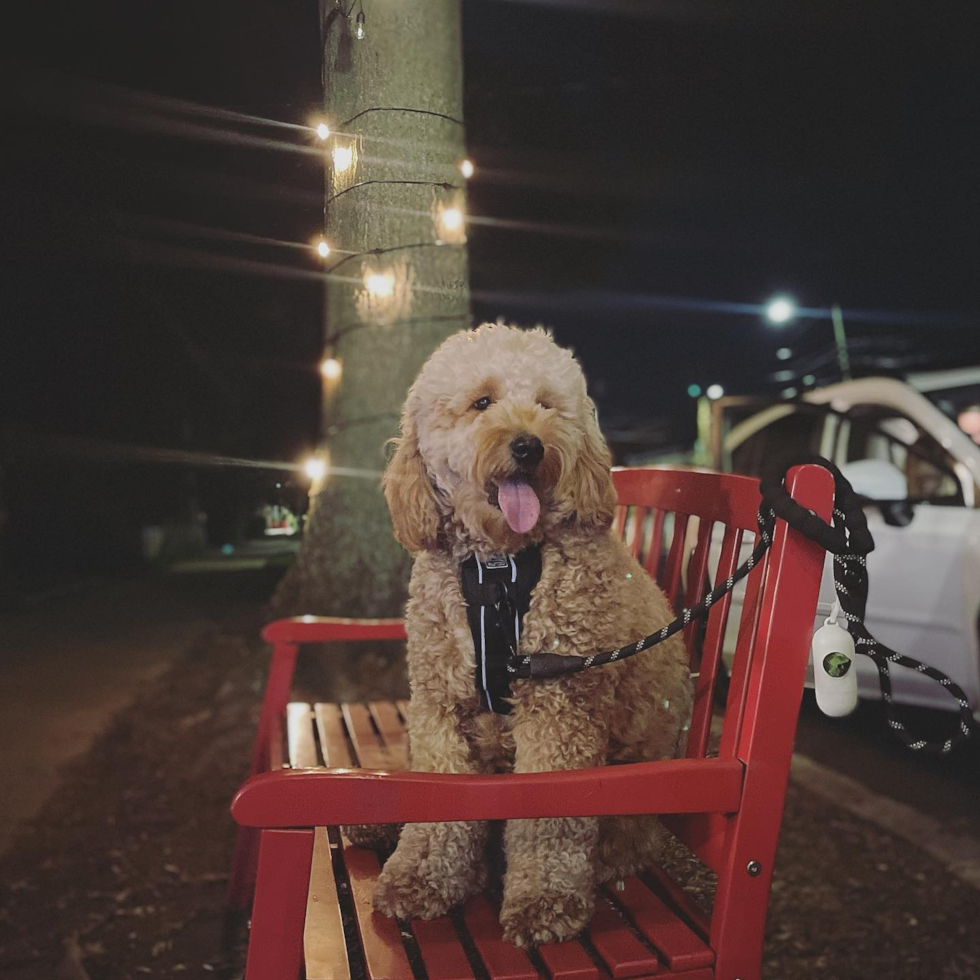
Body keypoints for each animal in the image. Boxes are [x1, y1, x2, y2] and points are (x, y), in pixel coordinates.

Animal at [372, 326, 692, 944]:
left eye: (547, 404)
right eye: (481, 401)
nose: (528, 446)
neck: (500, 568)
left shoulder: (560, 707)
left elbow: (548, 818)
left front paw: (544, 900)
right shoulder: (439, 703)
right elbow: (438, 802)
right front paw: (420, 874)